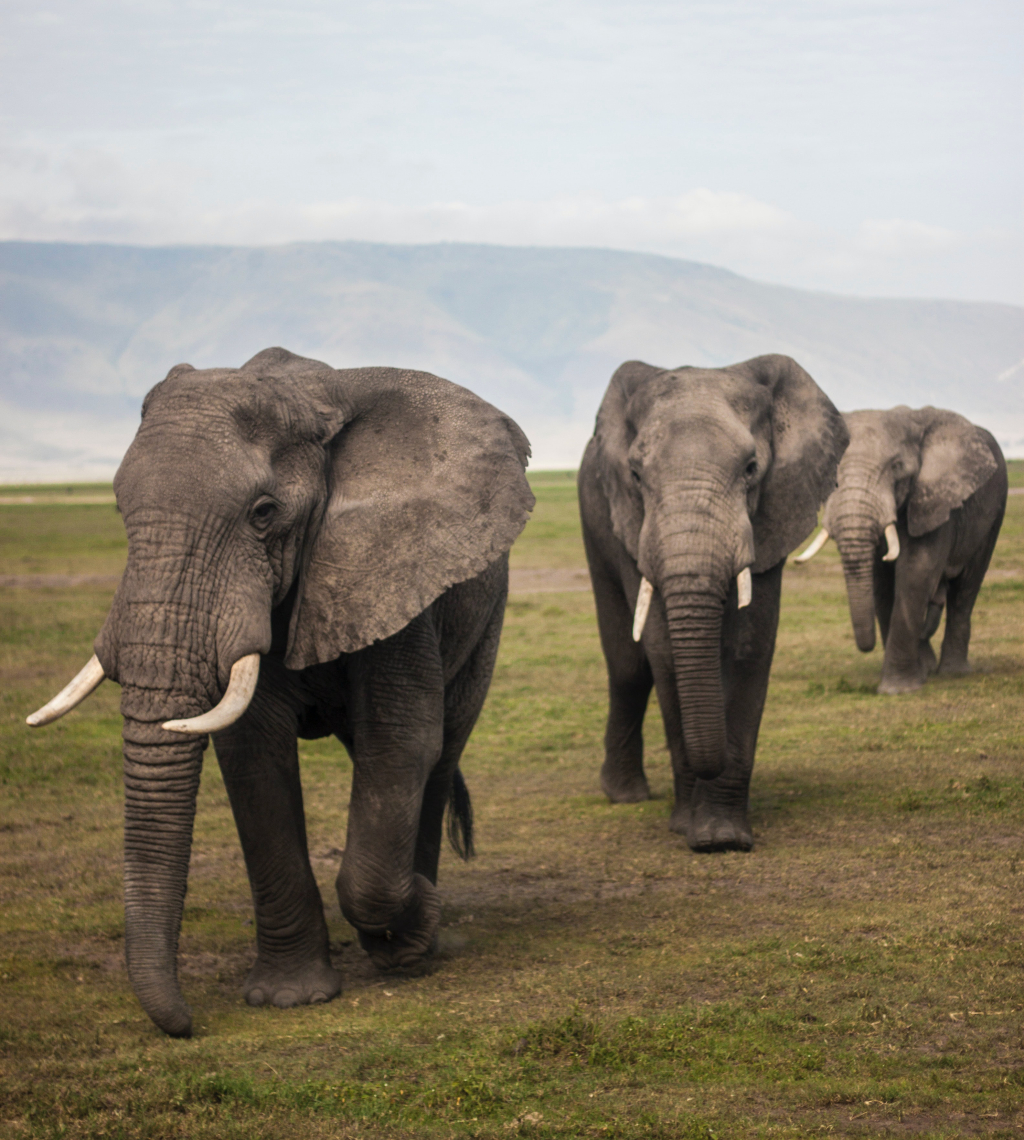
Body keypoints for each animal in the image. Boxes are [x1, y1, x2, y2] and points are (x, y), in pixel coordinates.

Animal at [25, 344, 533, 1035]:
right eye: (119, 509)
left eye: (264, 514)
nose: (186, 1024)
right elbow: (252, 754)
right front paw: (289, 998)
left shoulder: (391, 566)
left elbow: (400, 741)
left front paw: (412, 931)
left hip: (487, 616)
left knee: (442, 747)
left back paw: (417, 941)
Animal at [574, 351, 848, 852]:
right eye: (636, 475)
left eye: (751, 468)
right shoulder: (631, 523)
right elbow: (662, 650)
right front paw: (689, 828)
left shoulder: (772, 513)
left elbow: (748, 646)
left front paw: (722, 837)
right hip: (593, 517)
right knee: (628, 666)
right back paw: (624, 795)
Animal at [793, 410, 1003, 693]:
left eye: (896, 468)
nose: (866, 646)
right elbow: (882, 583)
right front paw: (914, 677)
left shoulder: (933, 500)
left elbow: (916, 571)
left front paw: (897, 690)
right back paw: (928, 667)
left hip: (994, 514)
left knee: (966, 589)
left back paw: (953, 672)